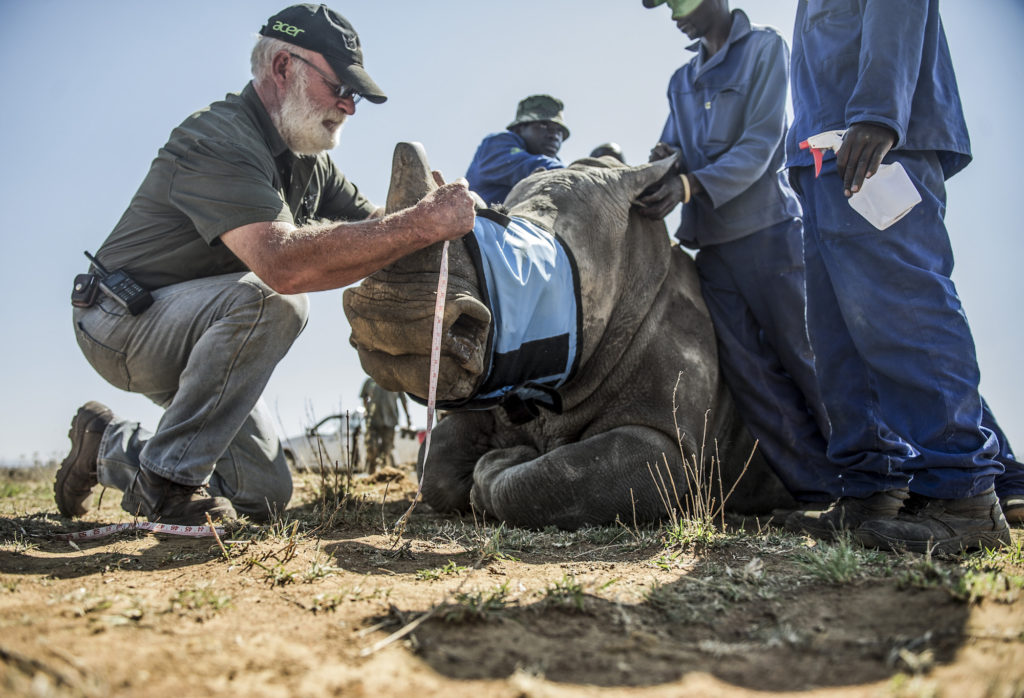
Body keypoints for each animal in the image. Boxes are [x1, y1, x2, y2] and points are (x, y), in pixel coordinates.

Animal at [344, 142, 790, 528]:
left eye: (535, 269)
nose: (396, 319)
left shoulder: (669, 443)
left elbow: (554, 478)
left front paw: (498, 466)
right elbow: (433, 457)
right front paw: (492, 460)